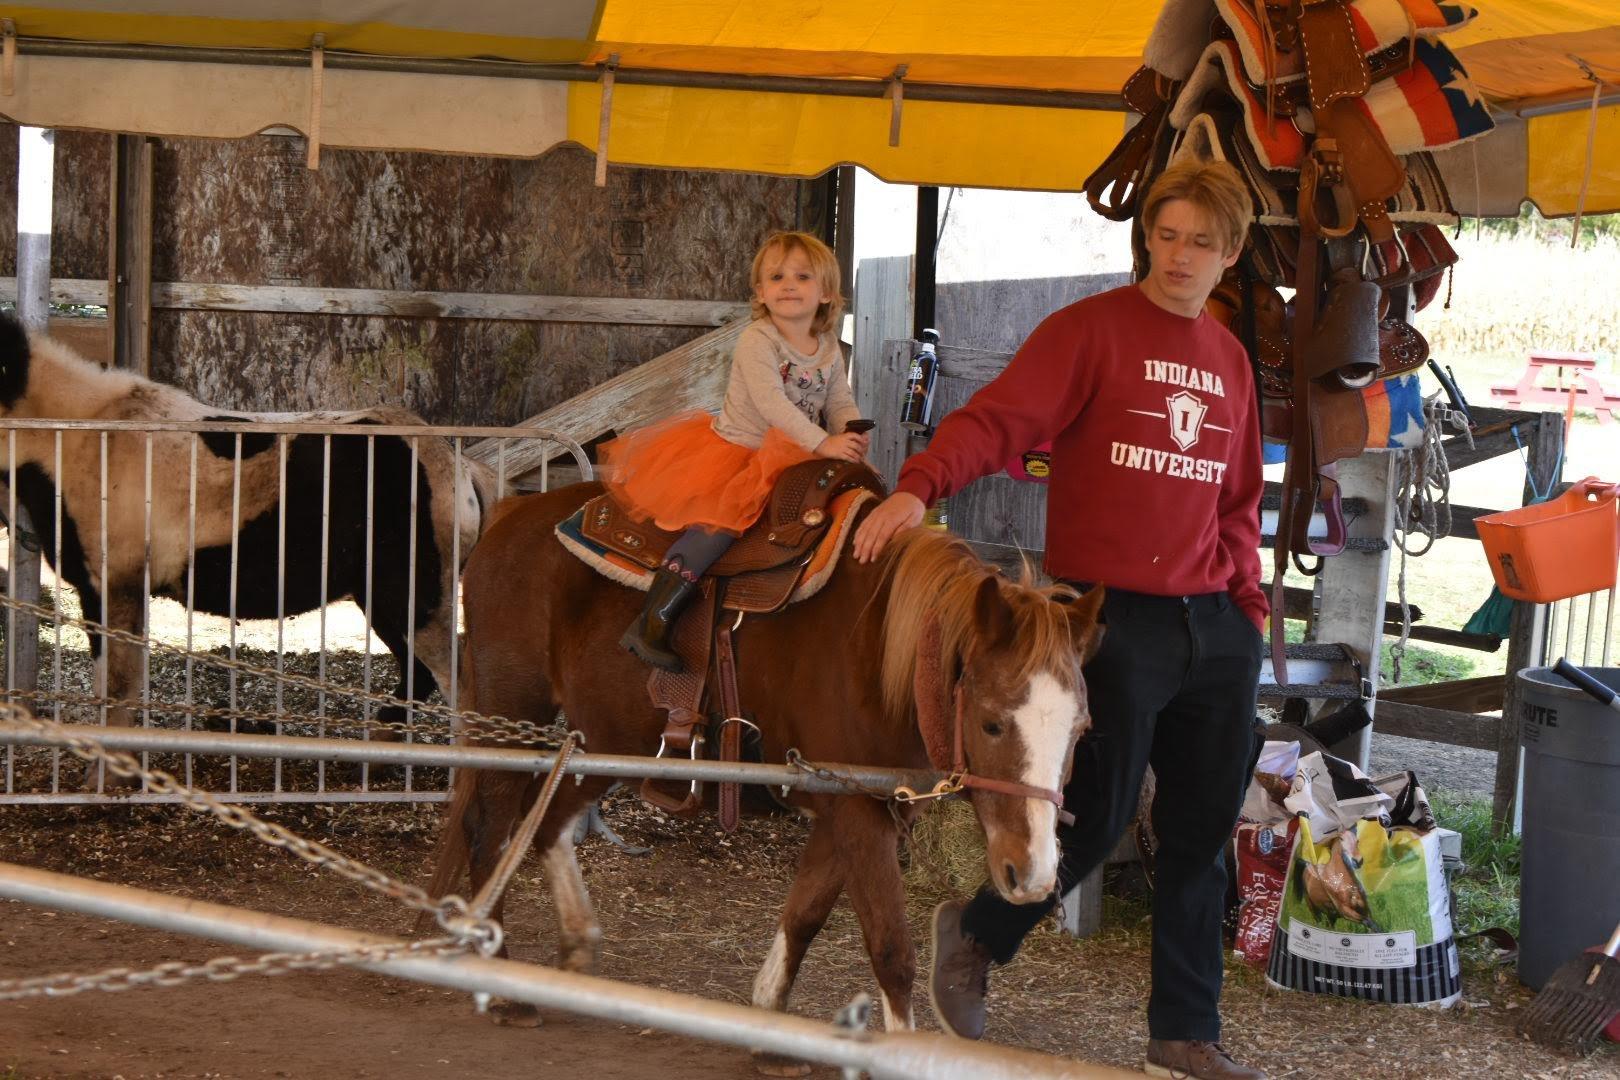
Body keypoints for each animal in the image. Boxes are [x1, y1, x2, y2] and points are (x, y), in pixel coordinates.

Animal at [0, 314, 492, 744]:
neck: (86, 438)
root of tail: (459, 470)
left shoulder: (114, 588)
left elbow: (116, 693)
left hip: (417, 599)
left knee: (454, 686)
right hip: (382, 598)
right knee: (417, 675)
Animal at [424, 482, 1108, 1036]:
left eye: (1081, 729)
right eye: (992, 721)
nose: (1034, 873)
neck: (877, 647)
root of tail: (512, 514)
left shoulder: (855, 803)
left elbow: (804, 913)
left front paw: (770, 1016)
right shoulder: (856, 811)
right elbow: (891, 948)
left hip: (613, 740)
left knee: (549, 823)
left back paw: (575, 948)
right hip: (515, 715)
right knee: (489, 830)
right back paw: (502, 985)